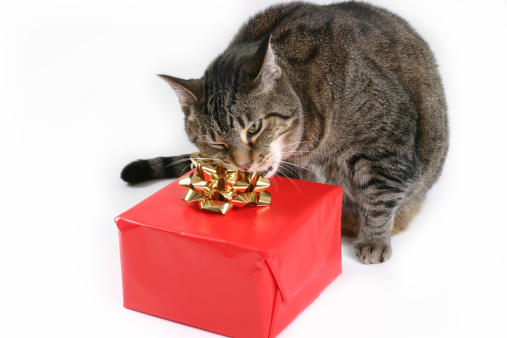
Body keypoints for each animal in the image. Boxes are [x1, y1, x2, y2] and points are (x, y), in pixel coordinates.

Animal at [122, 0, 448, 264]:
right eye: (216, 142)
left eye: (255, 127)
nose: (243, 164)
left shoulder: (387, 145)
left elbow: (380, 197)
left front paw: (374, 239)